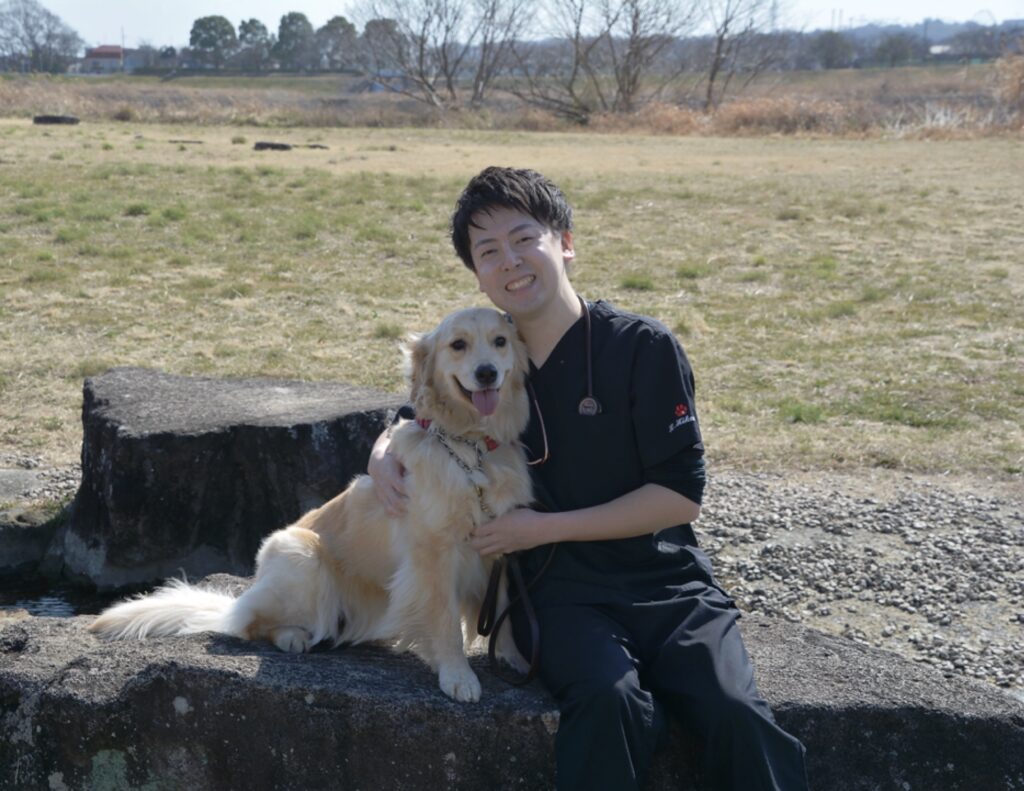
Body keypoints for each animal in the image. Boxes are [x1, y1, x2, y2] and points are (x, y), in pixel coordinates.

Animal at [89, 307, 533, 702]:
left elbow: (504, 610)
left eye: (500, 341)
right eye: (458, 345)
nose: (487, 372)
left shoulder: (500, 544)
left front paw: (511, 658)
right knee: (249, 625)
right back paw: (291, 637)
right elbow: (444, 621)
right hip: (302, 557)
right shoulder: (432, 552)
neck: (473, 448)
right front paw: (458, 676)